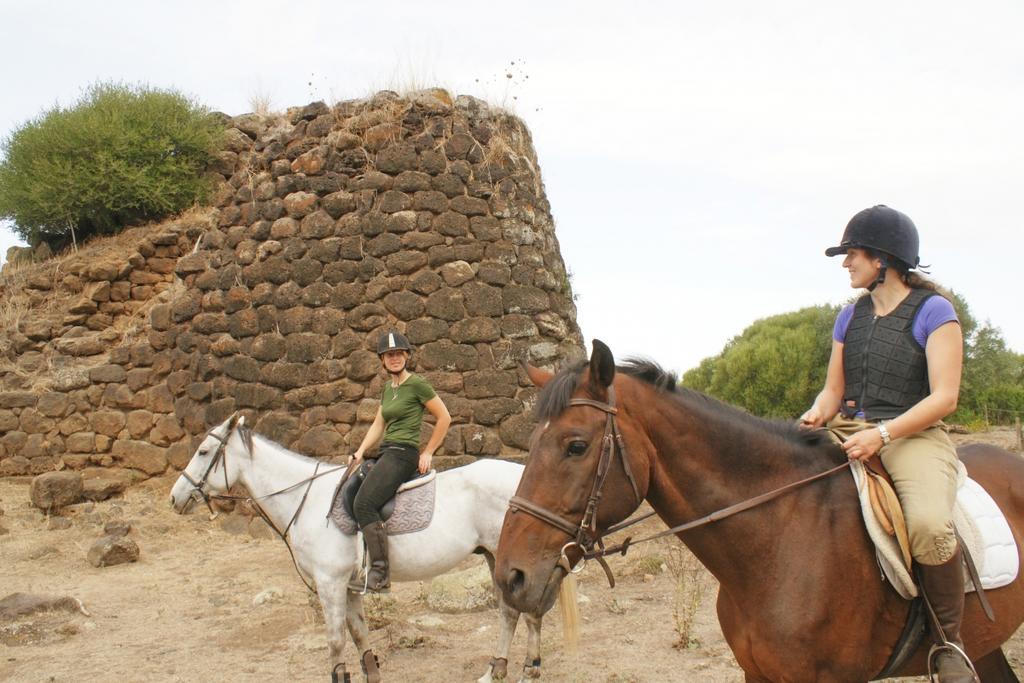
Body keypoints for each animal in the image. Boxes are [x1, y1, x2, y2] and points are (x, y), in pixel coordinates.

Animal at [167, 413, 557, 683]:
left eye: (204, 451)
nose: (175, 497)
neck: (306, 499)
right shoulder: (350, 586)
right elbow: (359, 633)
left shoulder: (330, 583)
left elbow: (336, 641)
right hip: (498, 559)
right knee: (513, 612)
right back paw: (504, 670)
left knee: (523, 611)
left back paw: (524, 670)